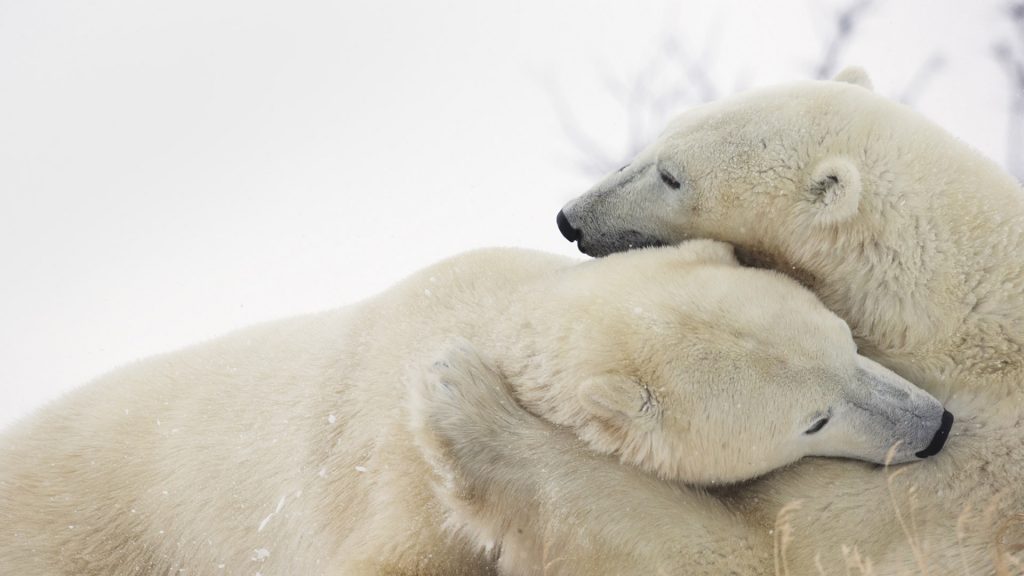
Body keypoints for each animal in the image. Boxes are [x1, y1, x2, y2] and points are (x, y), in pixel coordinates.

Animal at [440, 69, 1024, 569]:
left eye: (671, 176)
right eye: (661, 133)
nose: (570, 219)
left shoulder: (957, 488)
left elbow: (745, 549)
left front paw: (469, 403)